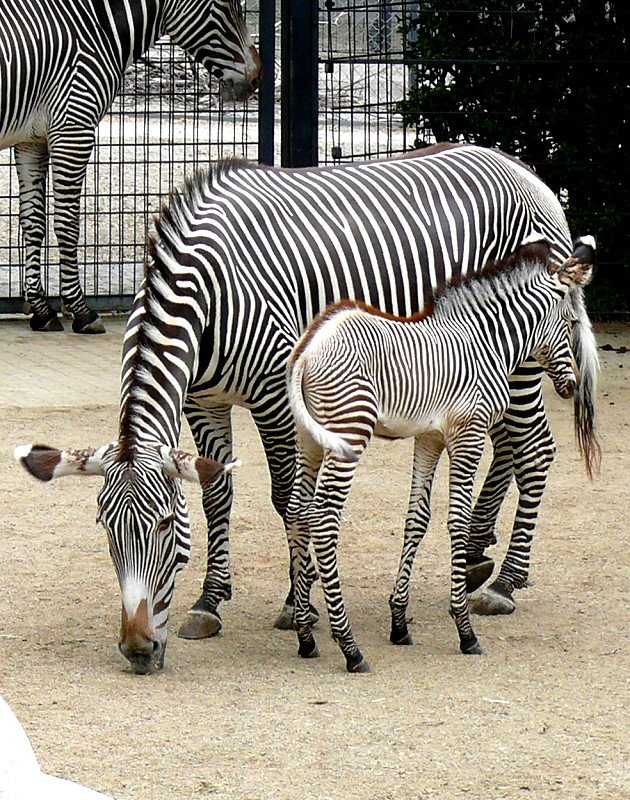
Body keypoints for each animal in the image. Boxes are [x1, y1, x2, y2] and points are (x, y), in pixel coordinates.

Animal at [0, 0, 262, 334]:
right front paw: (81, 310)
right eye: (224, 6)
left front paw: (41, 310)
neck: (95, 28)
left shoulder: (32, 140)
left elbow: (33, 223)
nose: (257, 78)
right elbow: (68, 224)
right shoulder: (74, 128)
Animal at [286, 236, 596, 668]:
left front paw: (399, 623)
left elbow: (417, 518)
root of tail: (312, 344)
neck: (486, 342)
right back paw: (349, 646)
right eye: (571, 324)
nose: (571, 387)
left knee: (297, 511)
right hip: (349, 433)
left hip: (310, 439)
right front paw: (464, 630)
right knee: (324, 518)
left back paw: (305, 636)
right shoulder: (469, 433)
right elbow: (457, 522)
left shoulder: (429, 438)